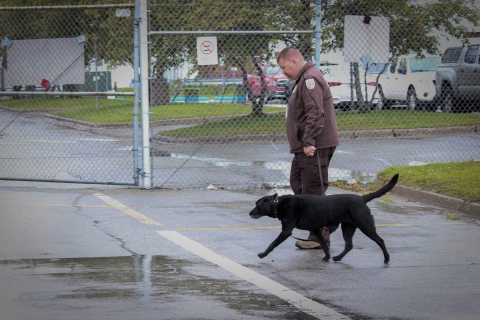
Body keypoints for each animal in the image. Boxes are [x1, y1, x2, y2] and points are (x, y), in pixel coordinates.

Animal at [249, 174, 400, 264]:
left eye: (257, 205)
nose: (249, 213)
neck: (279, 204)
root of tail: (363, 198)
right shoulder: (316, 229)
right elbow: (324, 244)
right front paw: (327, 257)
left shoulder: (286, 231)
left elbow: (272, 243)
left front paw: (263, 254)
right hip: (347, 227)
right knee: (349, 245)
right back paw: (338, 257)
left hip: (365, 225)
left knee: (380, 240)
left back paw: (386, 258)